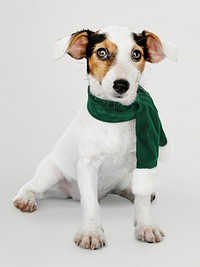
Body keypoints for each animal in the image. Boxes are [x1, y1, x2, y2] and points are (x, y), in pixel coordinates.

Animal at [13, 24, 177, 250]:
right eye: (102, 52)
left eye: (136, 54)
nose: (121, 85)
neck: (114, 116)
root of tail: (71, 194)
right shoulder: (87, 166)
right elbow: (90, 203)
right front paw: (91, 232)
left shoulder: (142, 159)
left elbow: (142, 197)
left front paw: (146, 225)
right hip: (50, 174)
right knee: (31, 185)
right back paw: (26, 199)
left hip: (122, 176)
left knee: (128, 189)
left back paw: (130, 192)